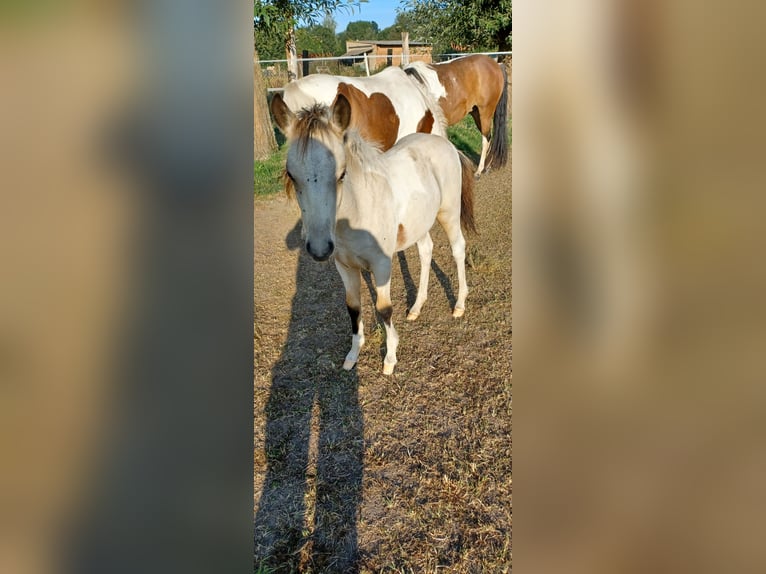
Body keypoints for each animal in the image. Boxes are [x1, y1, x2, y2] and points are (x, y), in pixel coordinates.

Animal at [270, 92, 474, 376]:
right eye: (291, 174)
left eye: (341, 173)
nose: (319, 249)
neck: (356, 213)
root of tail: (445, 144)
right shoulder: (344, 265)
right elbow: (353, 306)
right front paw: (353, 355)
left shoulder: (381, 264)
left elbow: (384, 308)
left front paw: (390, 358)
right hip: (420, 222)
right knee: (426, 251)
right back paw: (416, 307)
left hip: (449, 213)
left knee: (458, 249)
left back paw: (459, 305)